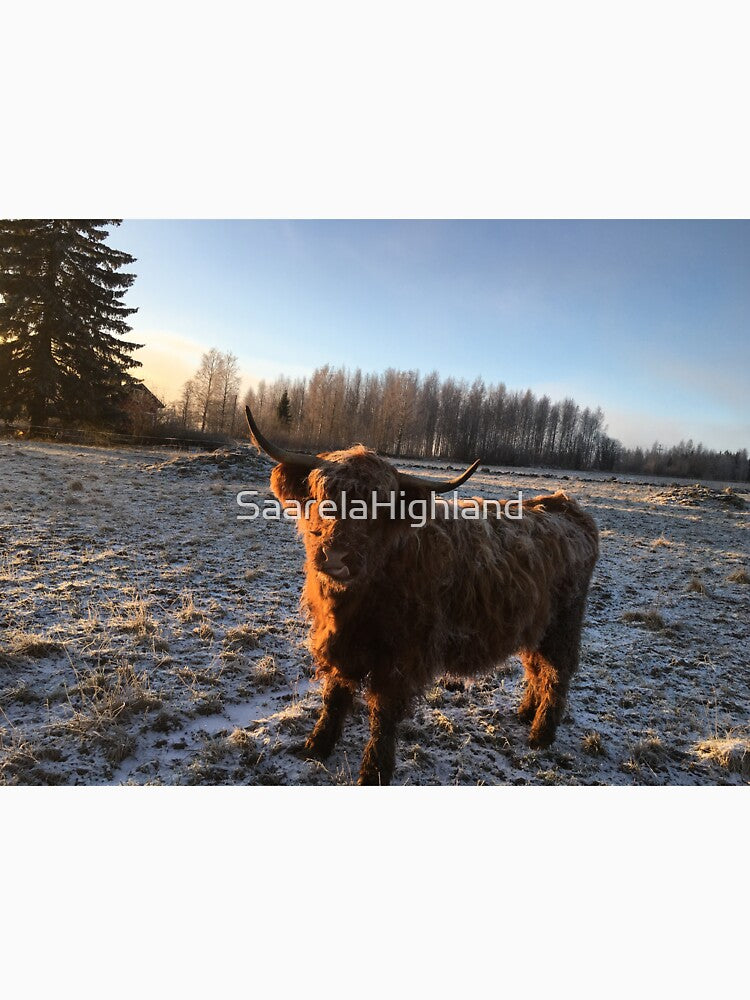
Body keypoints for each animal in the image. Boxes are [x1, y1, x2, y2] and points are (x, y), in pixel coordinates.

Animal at [244, 405, 599, 785]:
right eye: (321, 496)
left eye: (380, 507)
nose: (336, 556)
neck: (356, 600)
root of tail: (564, 505)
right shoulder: (342, 642)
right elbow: (335, 697)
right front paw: (317, 745)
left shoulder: (401, 657)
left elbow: (383, 715)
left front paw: (374, 771)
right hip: (534, 624)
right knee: (535, 667)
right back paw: (525, 712)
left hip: (564, 624)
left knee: (557, 673)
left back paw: (540, 735)